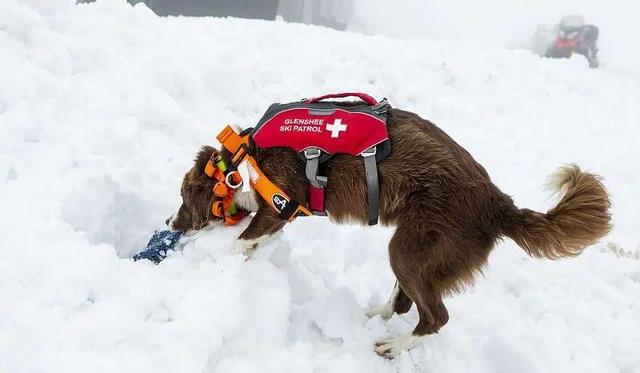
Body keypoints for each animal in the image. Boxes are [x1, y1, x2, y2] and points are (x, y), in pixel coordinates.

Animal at [168, 107, 612, 358]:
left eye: (183, 195)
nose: (172, 225)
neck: (245, 157)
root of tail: (499, 203)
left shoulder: (281, 201)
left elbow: (239, 243)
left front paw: (211, 264)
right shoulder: (282, 212)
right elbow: (254, 239)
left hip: (411, 246)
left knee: (435, 315)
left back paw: (393, 347)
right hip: (417, 249)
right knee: (404, 302)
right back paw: (371, 317)